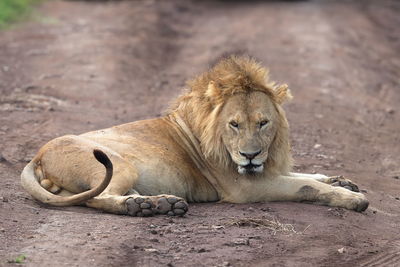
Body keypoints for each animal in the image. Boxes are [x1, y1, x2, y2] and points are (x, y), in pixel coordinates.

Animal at [19, 55, 368, 217]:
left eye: (263, 123)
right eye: (234, 125)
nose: (250, 156)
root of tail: (37, 156)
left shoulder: (266, 170)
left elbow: (306, 175)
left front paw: (342, 180)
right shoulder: (245, 187)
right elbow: (306, 185)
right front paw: (353, 198)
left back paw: (157, 204)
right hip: (118, 164)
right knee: (98, 198)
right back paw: (147, 207)